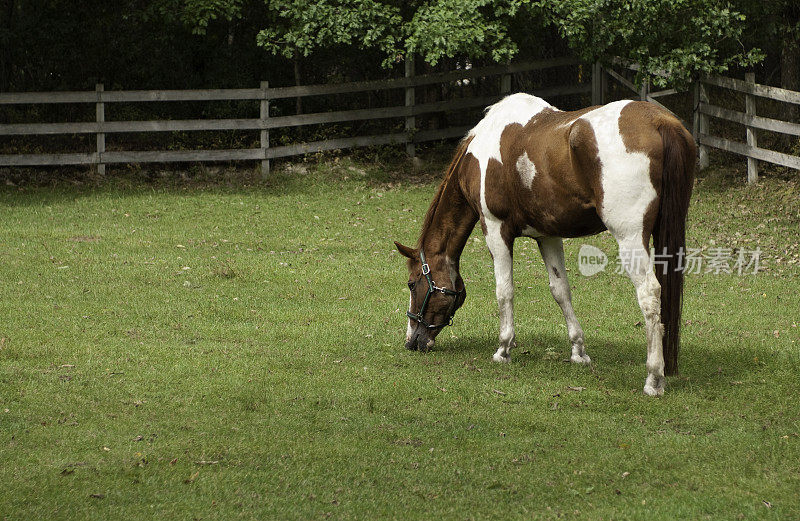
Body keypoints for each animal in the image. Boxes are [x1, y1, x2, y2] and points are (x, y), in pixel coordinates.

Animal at [396, 93, 696, 394]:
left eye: (411, 284)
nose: (412, 341)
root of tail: (659, 121)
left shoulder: (494, 229)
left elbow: (504, 291)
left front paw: (503, 349)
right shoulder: (548, 236)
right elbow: (561, 290)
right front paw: (578, 351)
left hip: (630, 238)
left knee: (649, 294)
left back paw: (654, 378)